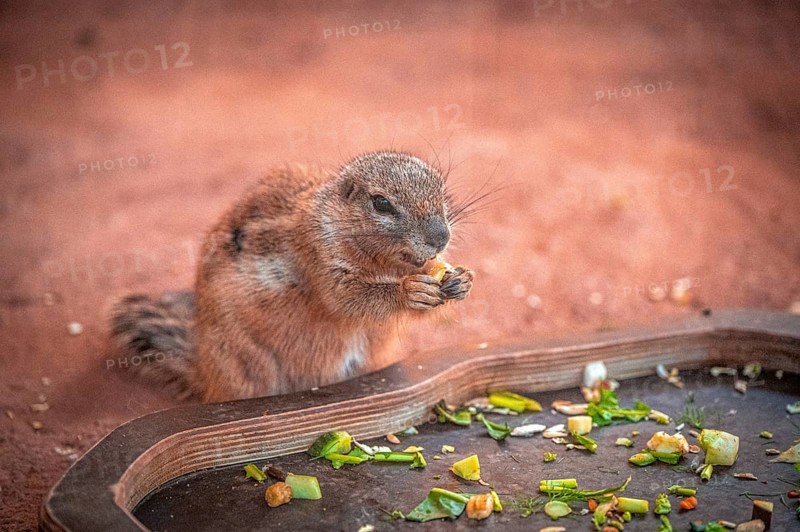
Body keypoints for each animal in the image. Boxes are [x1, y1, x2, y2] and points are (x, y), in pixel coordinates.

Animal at [111, 151, 474, 402]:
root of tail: (203, 370)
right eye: (381, 203)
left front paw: (461, 280)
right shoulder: (317, 258)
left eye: (441, 188)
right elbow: (348, 300)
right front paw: (409, 292)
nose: (440, 237)